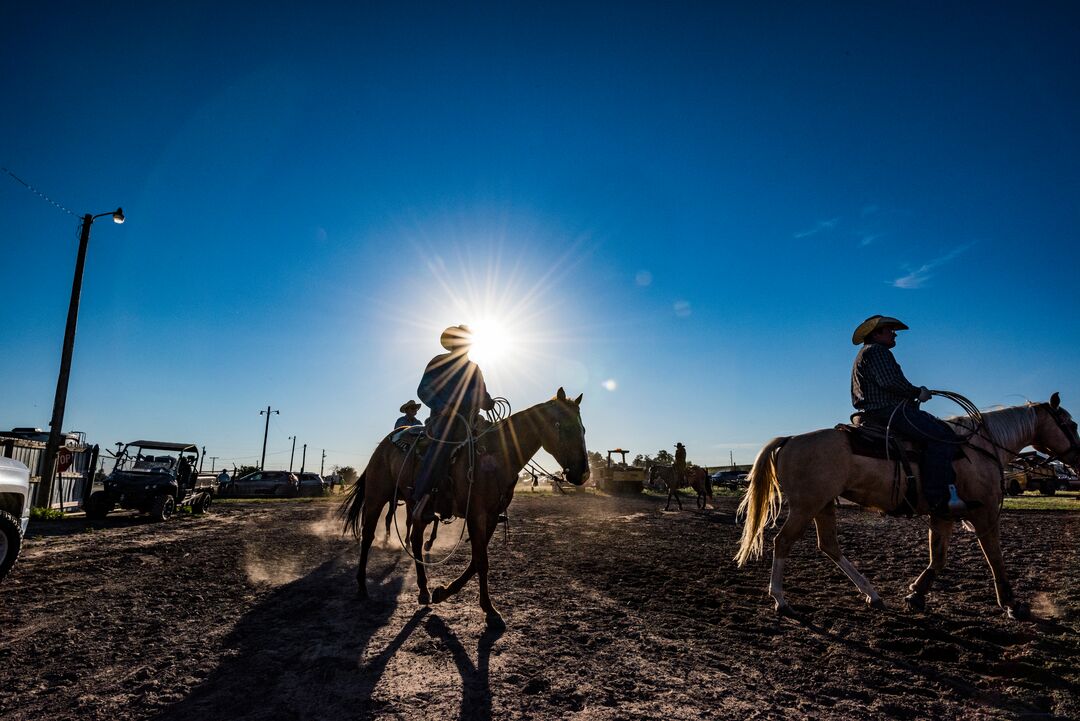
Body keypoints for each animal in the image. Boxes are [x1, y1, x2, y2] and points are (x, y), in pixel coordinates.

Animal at [339, 386, 587, 626]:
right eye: (561, 426)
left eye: (583, 429)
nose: (583, 474)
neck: (496, 454)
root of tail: (385, 443)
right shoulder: (476, 515)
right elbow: (481, 561)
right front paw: (489, 609)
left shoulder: (491, 516)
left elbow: (477, 561)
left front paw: (443, 592)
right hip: (377, 497)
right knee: (368, 536)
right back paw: (362, 585)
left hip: (414, 505)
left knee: (416, 540)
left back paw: (423, 589)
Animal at [734, 395, 1080, 621]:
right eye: (1071, 422)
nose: (1078, 457)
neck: (979, 448)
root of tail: (790, 438)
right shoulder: (984, 514)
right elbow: (995, 558)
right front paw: (1011, 603)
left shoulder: (942, 515)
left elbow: (938, 558)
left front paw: (916, 595)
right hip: (806, 506)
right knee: (783, 542)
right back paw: (781, 600)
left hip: (822, 505)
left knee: (829, 546)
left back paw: (872, 595)